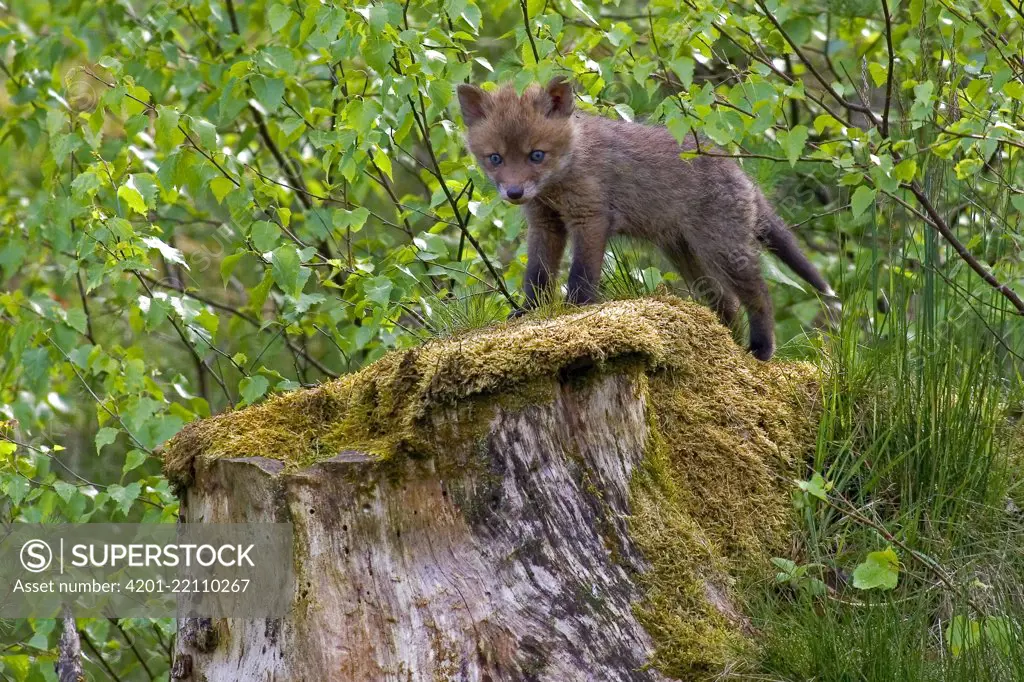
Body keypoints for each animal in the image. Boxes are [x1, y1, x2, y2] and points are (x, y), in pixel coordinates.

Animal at [460, 76, 835, 358]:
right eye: (495, 158)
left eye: (536, 155)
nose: (514, 193)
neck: (565, 172)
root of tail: (742, 174)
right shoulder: (545, 222)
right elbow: (536, 276)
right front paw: (529, 313)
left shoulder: (590, 217)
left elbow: (582, 274)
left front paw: (576, 310)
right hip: (686, 255)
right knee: (725, 301)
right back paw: (725, 344)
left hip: (722, 249)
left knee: (759, 294)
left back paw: (760, 348)